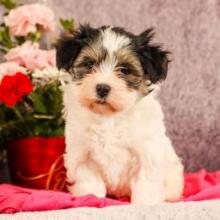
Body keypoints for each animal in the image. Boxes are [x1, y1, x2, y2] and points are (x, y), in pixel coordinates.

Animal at [56, 24, 184, 205]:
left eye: (124, 70)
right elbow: (89, 180)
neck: (109, 117)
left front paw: (145, 203)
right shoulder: (82, 154)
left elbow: (145, 182)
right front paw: (90, 198)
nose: (102, 88)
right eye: (89, 64)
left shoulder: (147, 153)